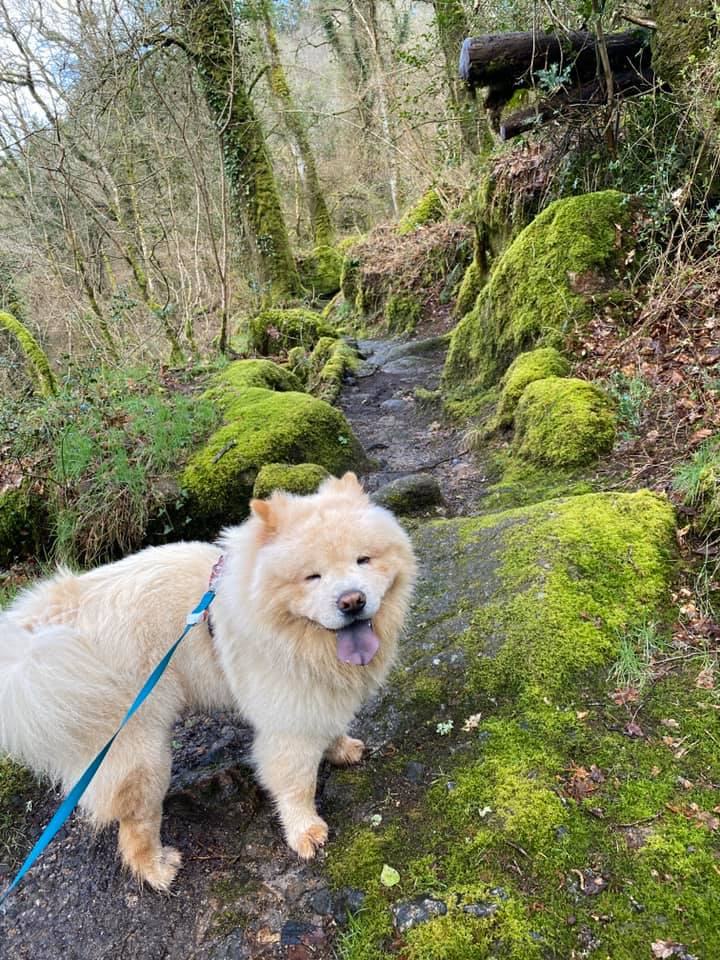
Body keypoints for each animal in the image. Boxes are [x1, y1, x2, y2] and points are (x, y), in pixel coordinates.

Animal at [0, 476, 416, 888]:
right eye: (312, 577)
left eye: (363, 560)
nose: (352, 600)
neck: (300, 637)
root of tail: (48, 629)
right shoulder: (287, 717)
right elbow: (297, 781)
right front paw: (306, 831)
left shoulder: (317, 698)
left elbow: (328, 730)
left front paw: (341, 748)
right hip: (141, 752)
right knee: (135, 825)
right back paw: (157, 868)